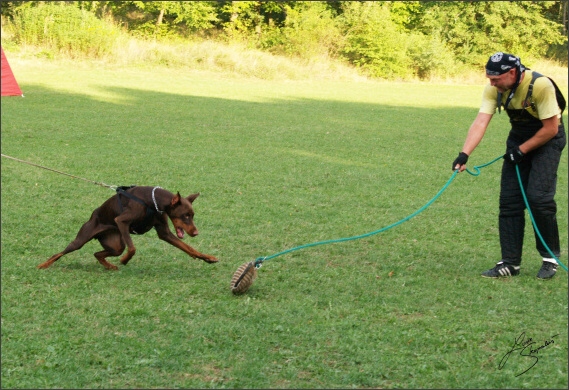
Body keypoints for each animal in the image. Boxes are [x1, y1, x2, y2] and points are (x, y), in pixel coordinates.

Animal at [37, 185, 219, 270]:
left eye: (192, 215)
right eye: (185, 216)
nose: (196, 232)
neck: (153, 202)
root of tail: (93, 216)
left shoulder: (165, 232)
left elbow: (188, 248)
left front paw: (208, 258)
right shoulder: (122, 221)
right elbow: (132, 249)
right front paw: (125, 260)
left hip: (115, 243)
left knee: (98, 253)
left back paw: (109, 266)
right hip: (82, 238)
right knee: (59, 253)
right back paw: (43, 265)